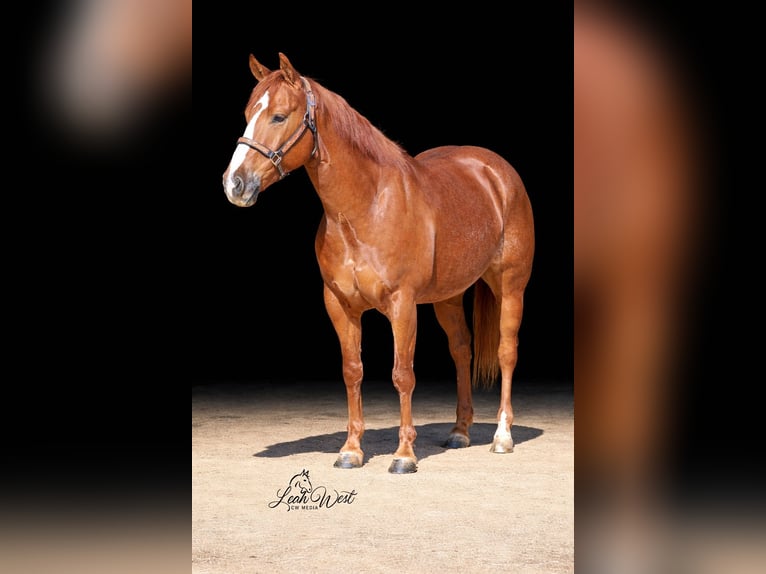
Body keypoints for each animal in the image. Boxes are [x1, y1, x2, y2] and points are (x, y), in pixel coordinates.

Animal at [222, 53, 535, 474]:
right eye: (247, 113)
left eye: (279, 116)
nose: (234, 184)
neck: (366, 207)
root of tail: (496, 171)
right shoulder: (339, 305)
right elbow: (352, 371)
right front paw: (351, 450)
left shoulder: (402, 306)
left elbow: (402, 374)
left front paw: (404, 456)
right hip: (448, 298)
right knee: (461, 351)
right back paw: (460, 431)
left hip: (510, 287)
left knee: (506, 351)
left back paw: (502, 436)